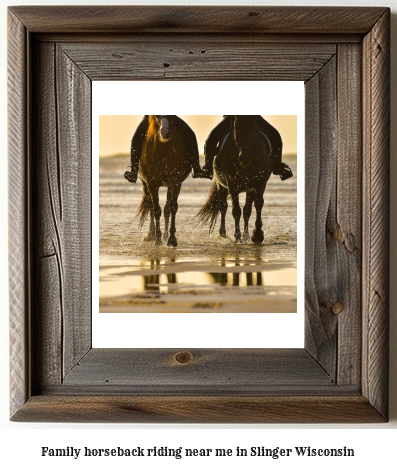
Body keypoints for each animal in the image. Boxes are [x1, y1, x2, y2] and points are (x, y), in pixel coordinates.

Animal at [135, 115, 193, 247]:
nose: (165, 132)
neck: (163, 150)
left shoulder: (175, 182)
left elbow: (172, 208)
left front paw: (171, 239)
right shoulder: (151, 183)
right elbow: (156, 209)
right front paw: (157, 238)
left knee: (166, 209)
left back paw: (166, 235)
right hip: (145, 184)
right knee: (151, 206)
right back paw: (151, 234)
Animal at [196, 116, 270, 245]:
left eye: (253, 127)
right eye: (236, 128)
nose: (245, 158)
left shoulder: (260, 182)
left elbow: (258, 204)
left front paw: (257, 235)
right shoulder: (232, 185)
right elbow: (236, 210)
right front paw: (237, 236)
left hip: (250, 189)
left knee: (247, 210)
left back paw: (246, 235)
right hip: (222, 187)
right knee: (223, 207)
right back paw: (223, 233)